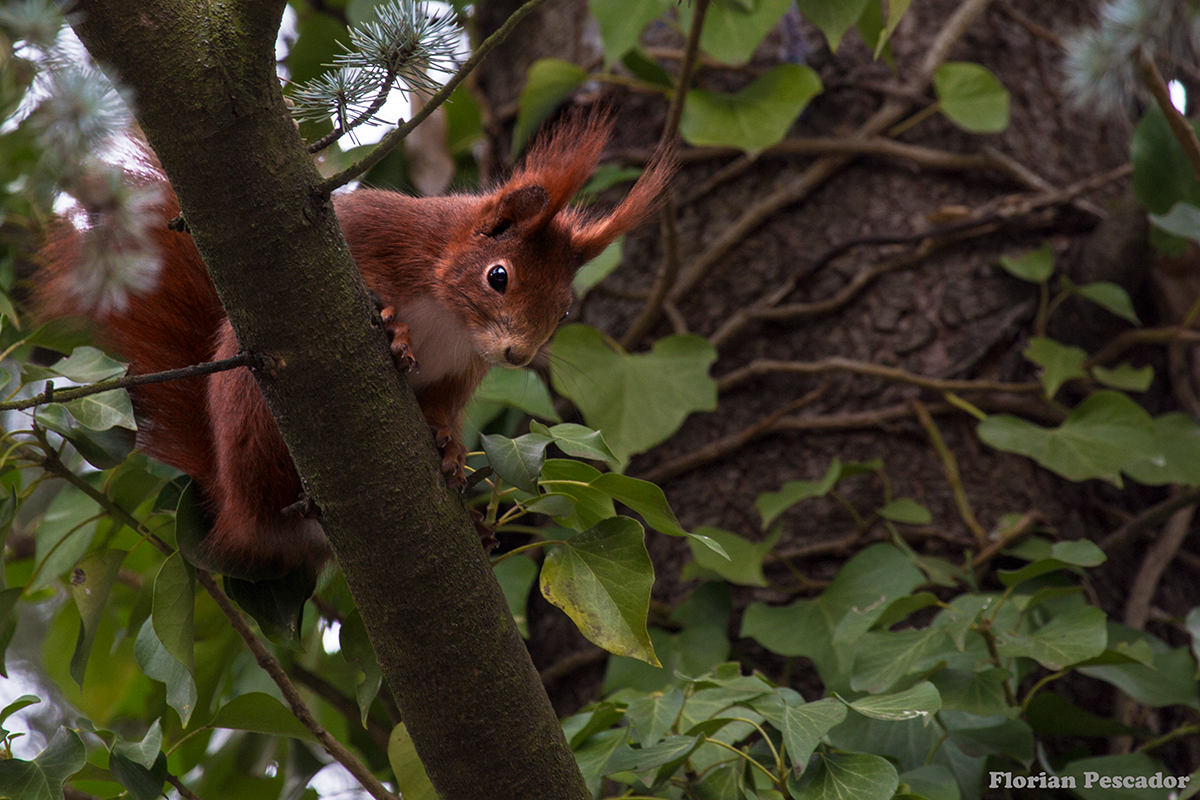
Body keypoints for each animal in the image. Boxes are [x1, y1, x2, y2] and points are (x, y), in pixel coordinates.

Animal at [37, 112, 672, 578]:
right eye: (498, 276)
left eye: (565, 308)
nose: (517, 354)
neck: (450, 316)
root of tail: (235, 511)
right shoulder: (379, 233)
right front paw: (393, 329)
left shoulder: (459, 368)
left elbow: (443, 405)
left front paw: (449, 447)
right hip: (254, 413)